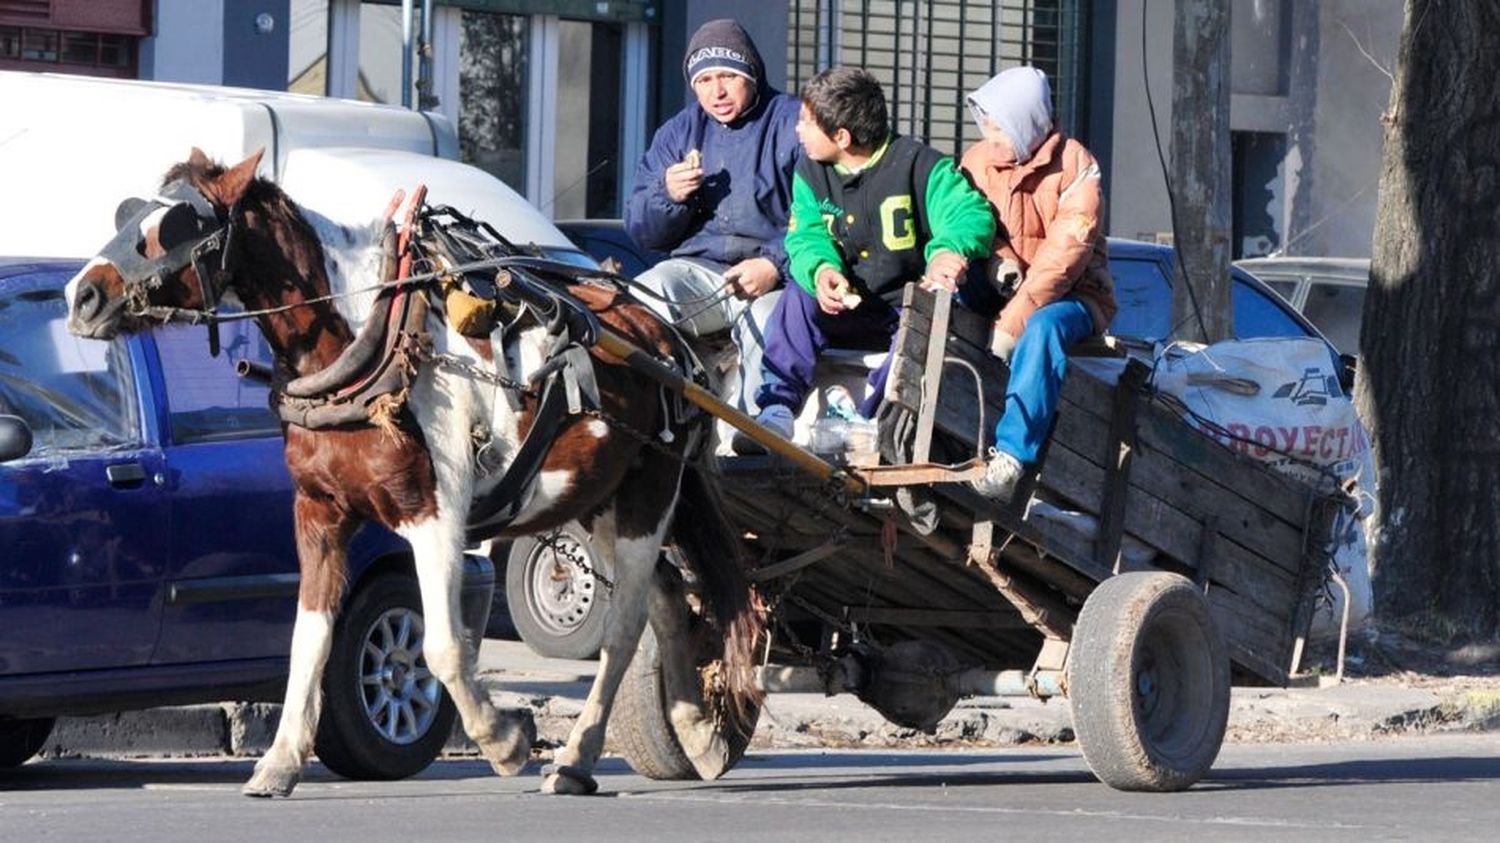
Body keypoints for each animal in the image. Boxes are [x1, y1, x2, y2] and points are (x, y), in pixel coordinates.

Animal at [64, 147, 762, 798]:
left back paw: (576, 756)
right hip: (596, 502)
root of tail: (669, 340)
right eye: (129, 213)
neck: (364, 338)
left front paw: (503, 740)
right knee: (667, 597)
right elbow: (308, 641)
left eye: (176, 226)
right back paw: (693, 730)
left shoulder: (435, 514)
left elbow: (444, 647)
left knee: (623, 630)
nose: (81, 296)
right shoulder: (319, 514)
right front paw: (281, 761)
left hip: (649, 494)